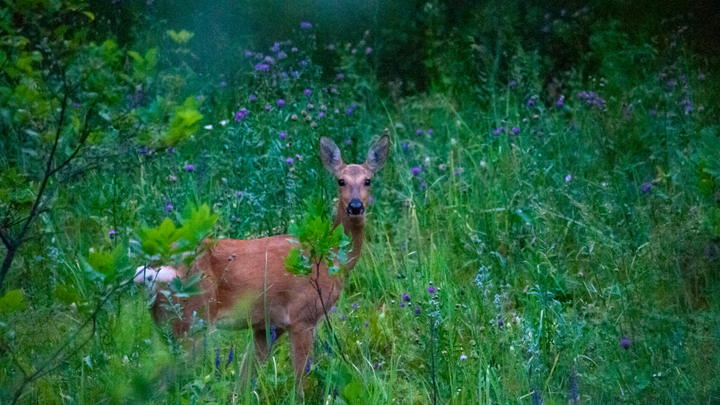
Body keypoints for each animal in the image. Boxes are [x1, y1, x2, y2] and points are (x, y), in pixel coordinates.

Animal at [132, 137, 390, 388]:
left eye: (368, 180)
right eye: (340, 181)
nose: (355, 206)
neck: (330, 258)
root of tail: (154, 270)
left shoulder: (267, 326)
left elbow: (244, 381)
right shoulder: (302, 316)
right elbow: (300, 381)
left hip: (167, 326)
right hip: (192, 320)